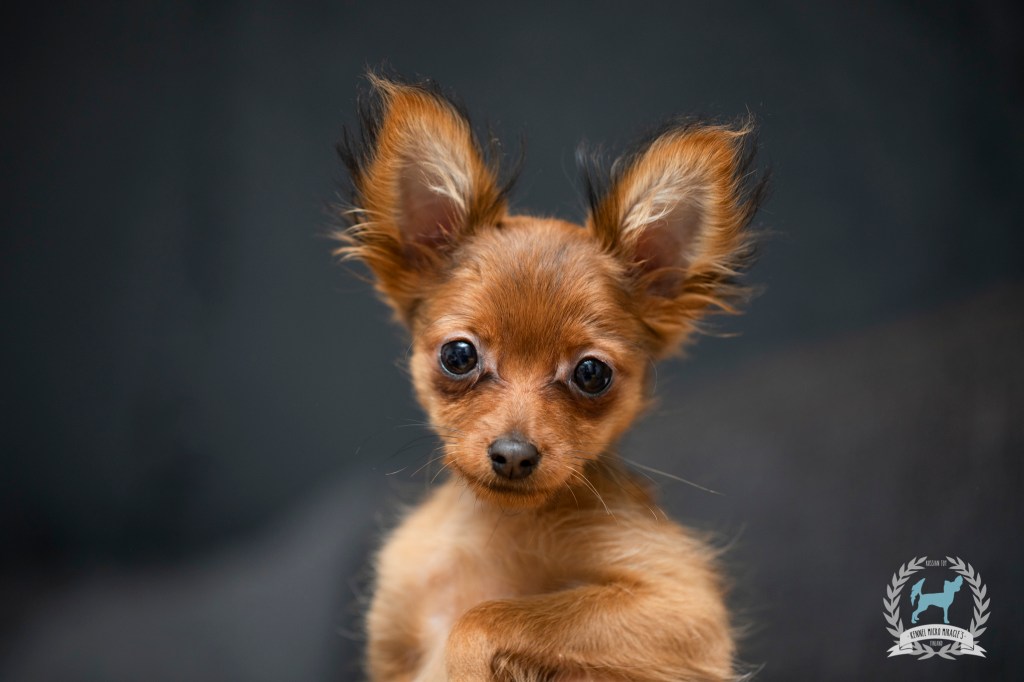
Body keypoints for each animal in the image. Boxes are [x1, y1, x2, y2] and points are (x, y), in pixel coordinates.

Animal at [334, 73, 766, 682]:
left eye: (591, 373)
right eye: (459, 356)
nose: (514, 455)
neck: (501, 529)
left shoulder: (684, 609)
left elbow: (482, 617)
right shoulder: (393, 635)